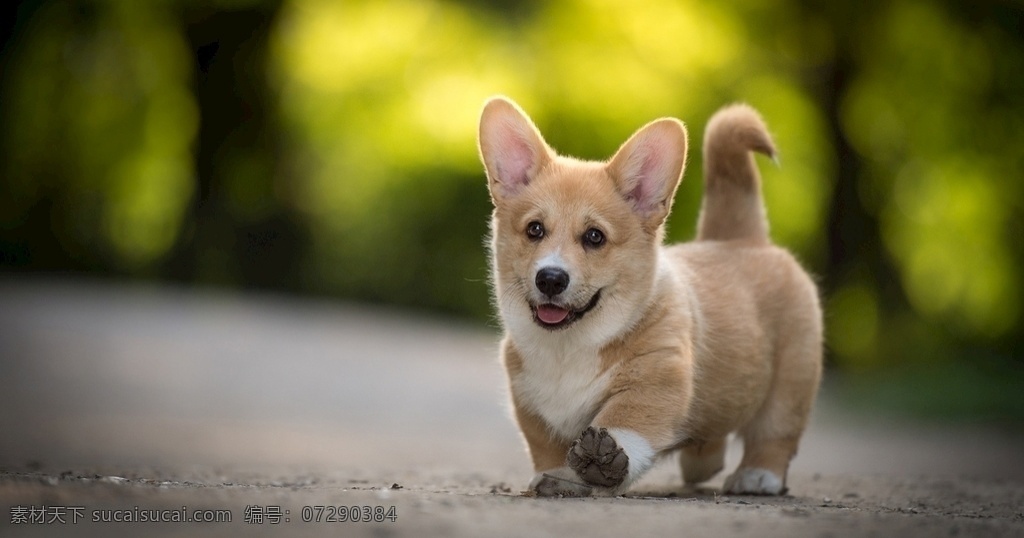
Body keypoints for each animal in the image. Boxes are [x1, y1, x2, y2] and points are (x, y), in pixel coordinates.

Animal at [479, 95, 823, 495]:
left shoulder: (655, 380)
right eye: (535, 229)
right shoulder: (528, 400)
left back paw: (757, 474)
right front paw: (557, 476)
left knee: (775, 434)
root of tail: (743, 239)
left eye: (594, 236)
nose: (550, 279)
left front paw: (602, 460)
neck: (570, 346)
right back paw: (702, 462)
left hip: (790, 383)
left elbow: (625, 422)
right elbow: (545, 446)